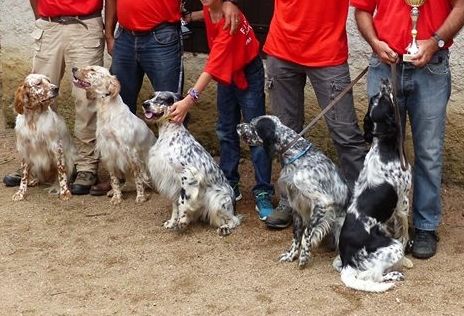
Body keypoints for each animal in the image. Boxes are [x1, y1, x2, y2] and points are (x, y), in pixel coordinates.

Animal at [71, 66, 156, 205]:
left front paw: (141, 197)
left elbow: (138, 178)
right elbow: (114, 179)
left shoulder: (131, 152)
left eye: (92, 70)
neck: (106, 108)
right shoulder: (108, 152)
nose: (73, 68)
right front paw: (117, 196)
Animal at [143, 90, 241, 236]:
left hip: (217, 199)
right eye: (152, 96)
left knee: (234, 219)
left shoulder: (187, 175)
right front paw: (172, 222)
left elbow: (182, 201)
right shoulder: (172, 181)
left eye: (161, 99)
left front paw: (182, 221)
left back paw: (225, 228)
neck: (169, 134)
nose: (145, 104)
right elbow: (175, 204)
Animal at [237, 115, 350, 268]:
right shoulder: (296, 205)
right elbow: (296, 235)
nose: (237, 126)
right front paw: (291, 255)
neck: (298, 156)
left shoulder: (322, 203)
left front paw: (303, 257)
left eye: (252, 124)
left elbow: (306, 234)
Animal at [334, 79, 414, 294]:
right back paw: (393, 276)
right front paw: (407, 259)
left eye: (374, 99)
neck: (383, 146)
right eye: (385, 97)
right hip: (391, 248)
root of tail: (347, 260)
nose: (384, 81)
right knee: (371, 275)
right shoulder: (403, 202)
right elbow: (404, 231)